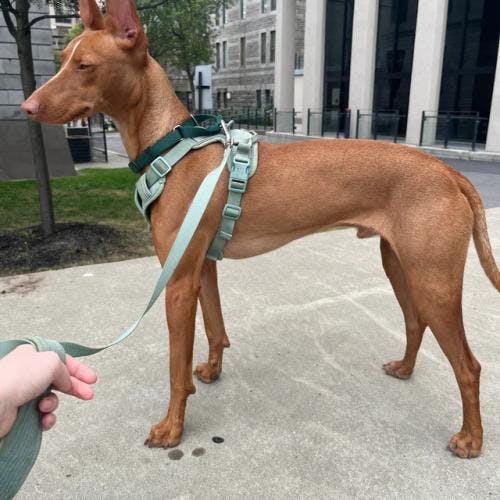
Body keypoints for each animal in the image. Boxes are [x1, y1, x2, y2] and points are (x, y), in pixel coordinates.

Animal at [22, 0, 499, 459]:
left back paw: (471, 439)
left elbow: (175, 367)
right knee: (416, 323)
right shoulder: (202, 270)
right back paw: (404, 369)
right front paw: (212, 372)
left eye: (85, 65)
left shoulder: (177, 282)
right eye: (63, 59)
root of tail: (447, 171)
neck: (171, 147)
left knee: (468, 366)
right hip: (401, 266)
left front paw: (172, 428)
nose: (26, 108)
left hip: (434, 280)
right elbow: (215, 329)